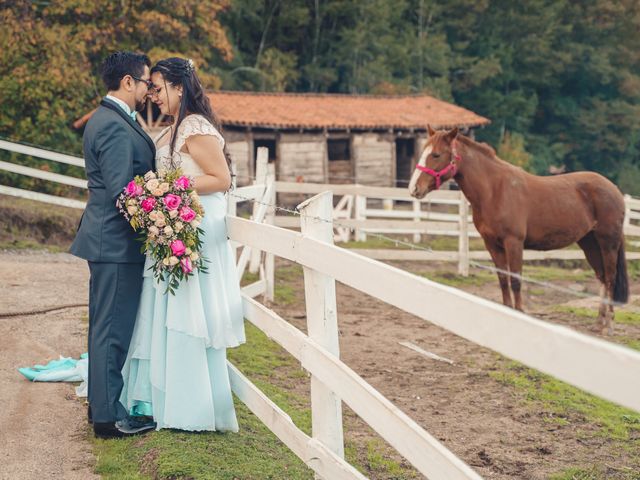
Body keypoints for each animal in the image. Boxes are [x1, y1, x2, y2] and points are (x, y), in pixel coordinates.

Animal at [408, 125, 628, 334]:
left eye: (436, 155)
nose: (413, 189)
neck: (495, 190)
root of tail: (615, 189)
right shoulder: (492, 245)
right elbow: (503, 279)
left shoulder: (514, 242)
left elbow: (515, 280)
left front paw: (519, 313)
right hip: (589, 242)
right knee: (601, 276)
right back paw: (598, 323)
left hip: (607, 243)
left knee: (610, 278)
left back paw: (608, 324)